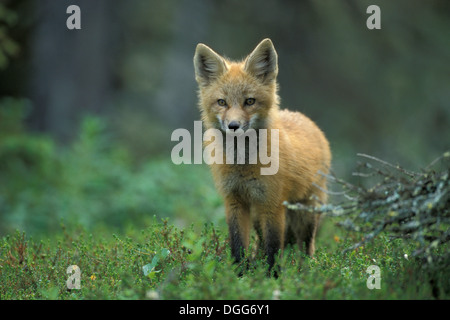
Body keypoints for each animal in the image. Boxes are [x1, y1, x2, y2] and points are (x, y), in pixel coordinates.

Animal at [192, 38, 330, 276]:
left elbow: (274, 247)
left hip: (306, 212)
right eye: (221, 102)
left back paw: (306, 272)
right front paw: (239, 276)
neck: (243, 164)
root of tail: (307, 120)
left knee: (306, 247)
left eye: (249, 101)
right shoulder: (235, 201)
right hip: (258, 215)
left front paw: (272, 278)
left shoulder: (272, 204)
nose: (233, 126)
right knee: (259, 244)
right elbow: (238, 245)